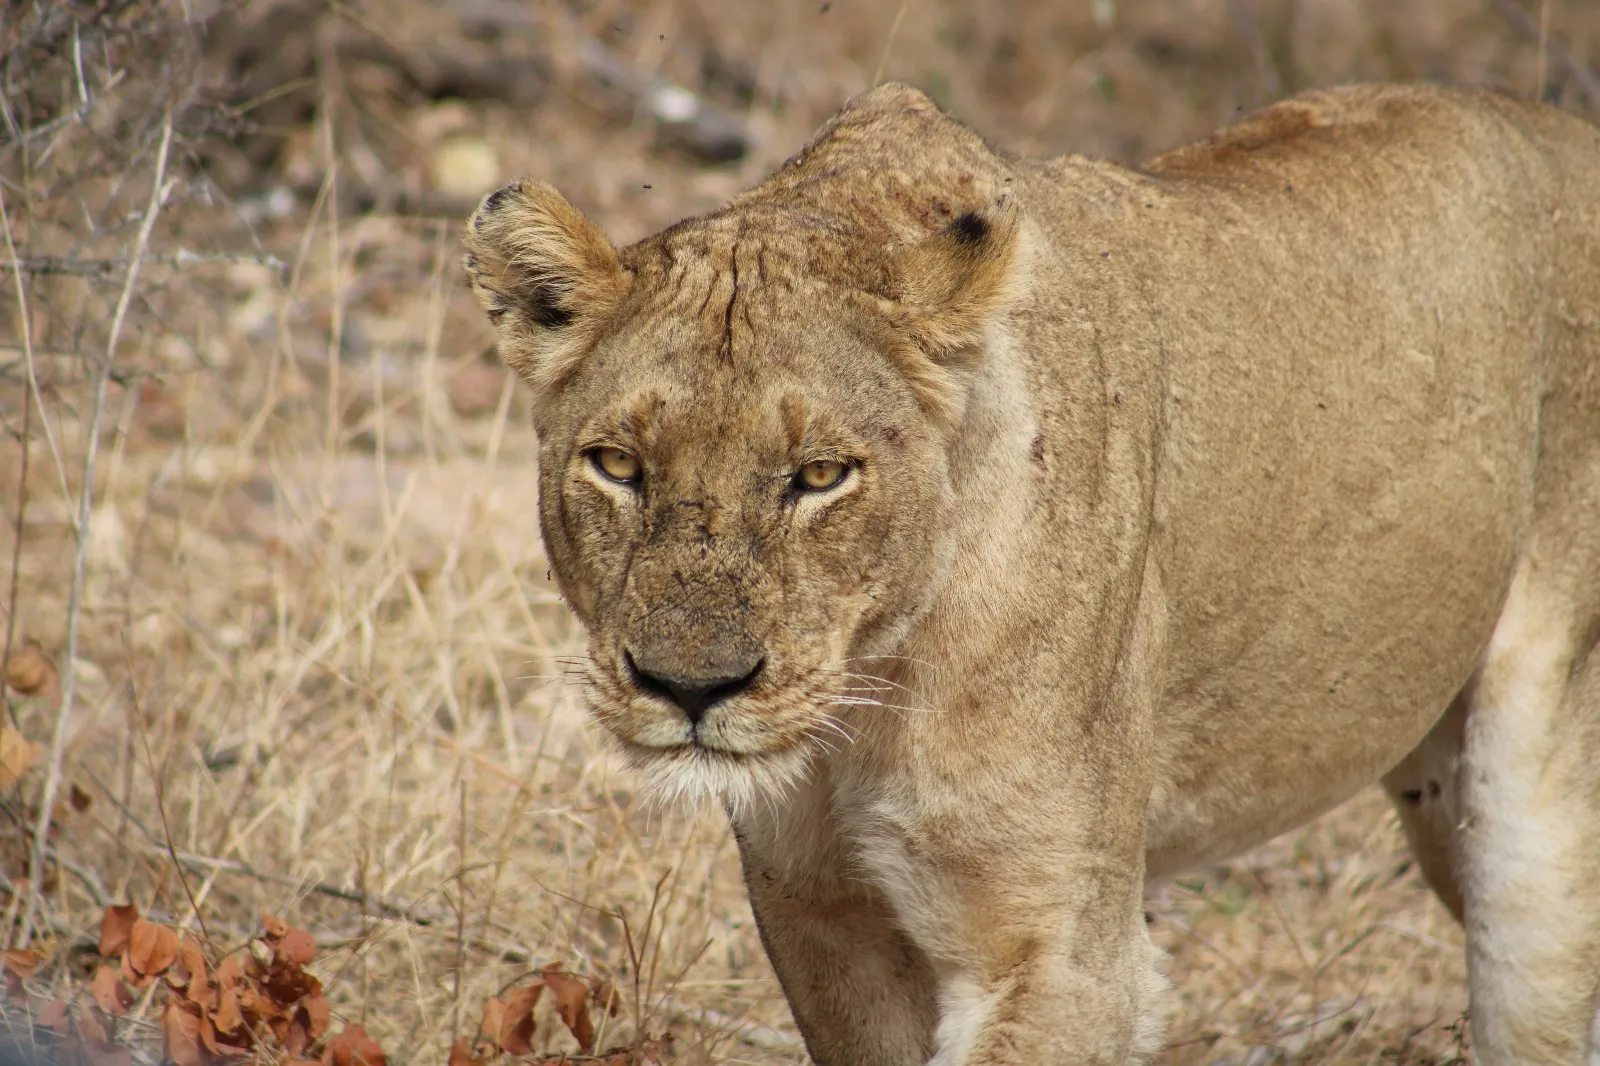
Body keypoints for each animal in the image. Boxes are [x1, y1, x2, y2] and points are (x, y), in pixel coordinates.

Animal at [462, 83, 1600, 1065]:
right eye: (618, 465)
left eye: (820, 475)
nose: (689, 688)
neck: (870, 691)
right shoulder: (820, 913)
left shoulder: (1058, 951)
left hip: (1532, 827)